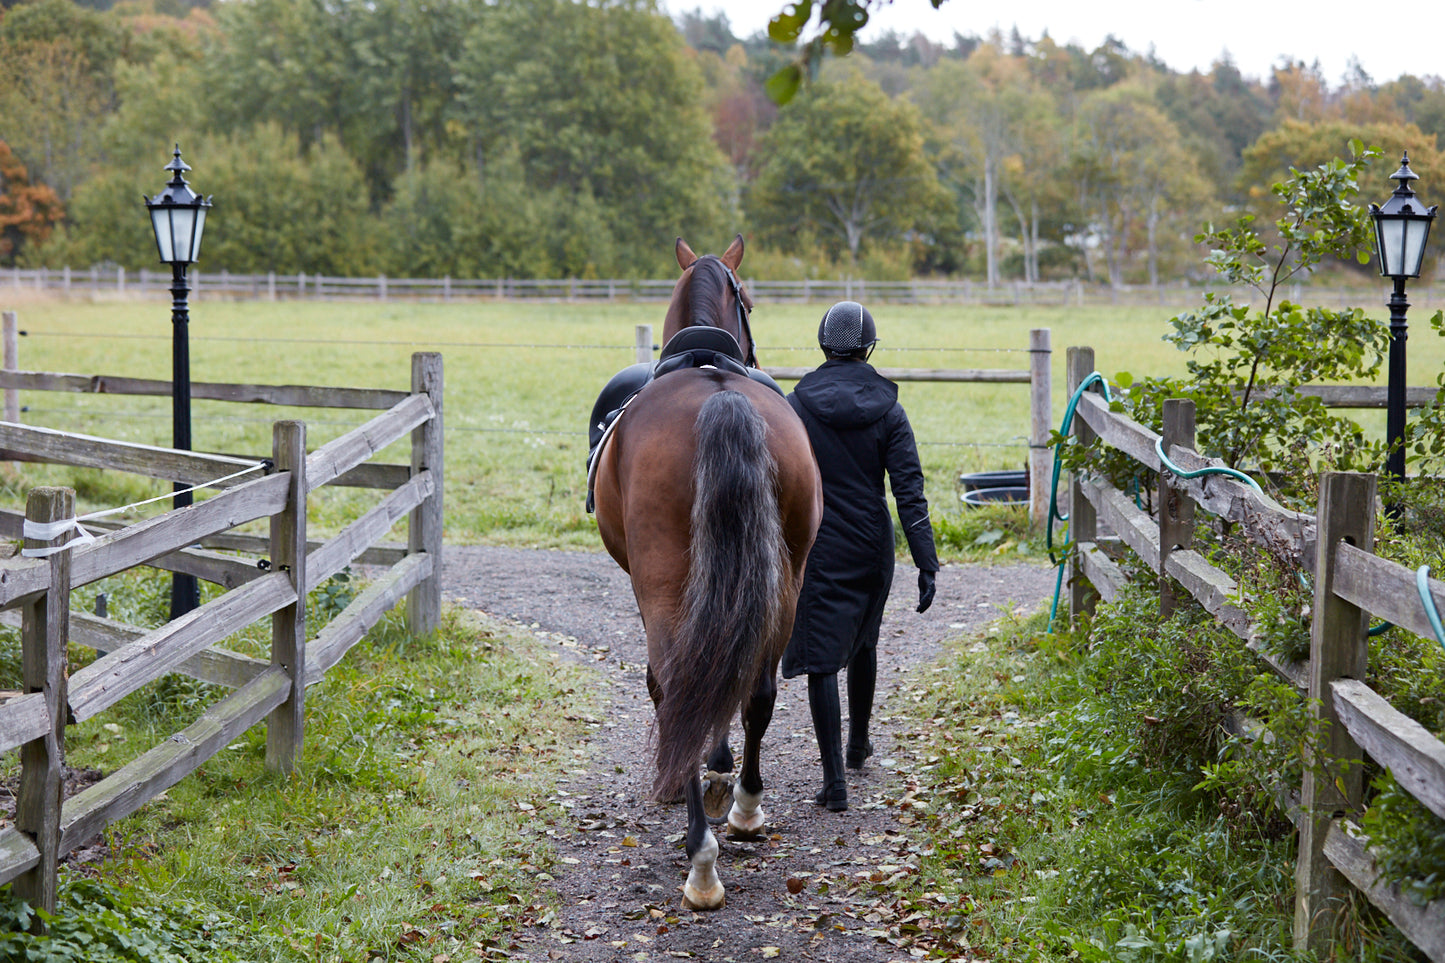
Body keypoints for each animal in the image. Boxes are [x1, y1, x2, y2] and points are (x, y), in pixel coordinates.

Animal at [586, 234, 814, 908]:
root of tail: (720, 396)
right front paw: (722, 775)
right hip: (784, 579)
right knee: (757, 691)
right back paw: (745, 811)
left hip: (666, 583)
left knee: (679, 682)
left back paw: (701, 858)